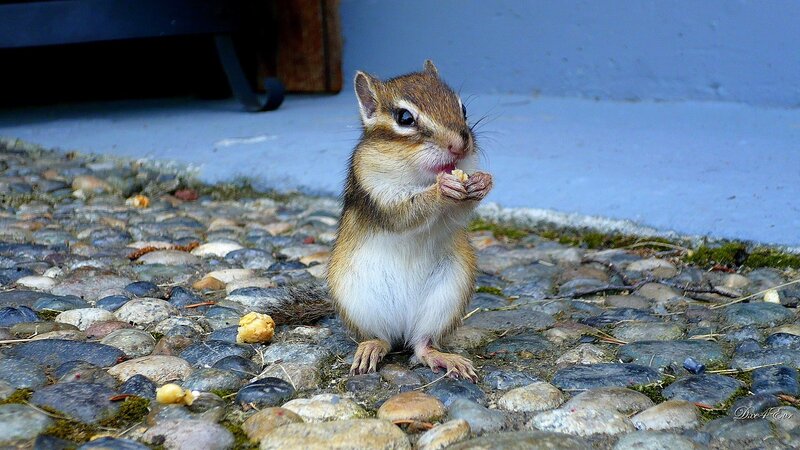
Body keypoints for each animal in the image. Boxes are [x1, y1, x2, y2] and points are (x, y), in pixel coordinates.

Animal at [327, 60, 493, 382]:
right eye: (405, 118)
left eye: (463, 108)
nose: (460, 145)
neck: (417, 174)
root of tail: (402, 328)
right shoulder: (373, 188)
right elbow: (402, 213)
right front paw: (442, 190)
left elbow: (460, 212)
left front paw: (482, 182)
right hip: (359, 303)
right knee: (382, 338)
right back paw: (370, 349)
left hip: (445, 298)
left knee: (421, 345)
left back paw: (445, 358)